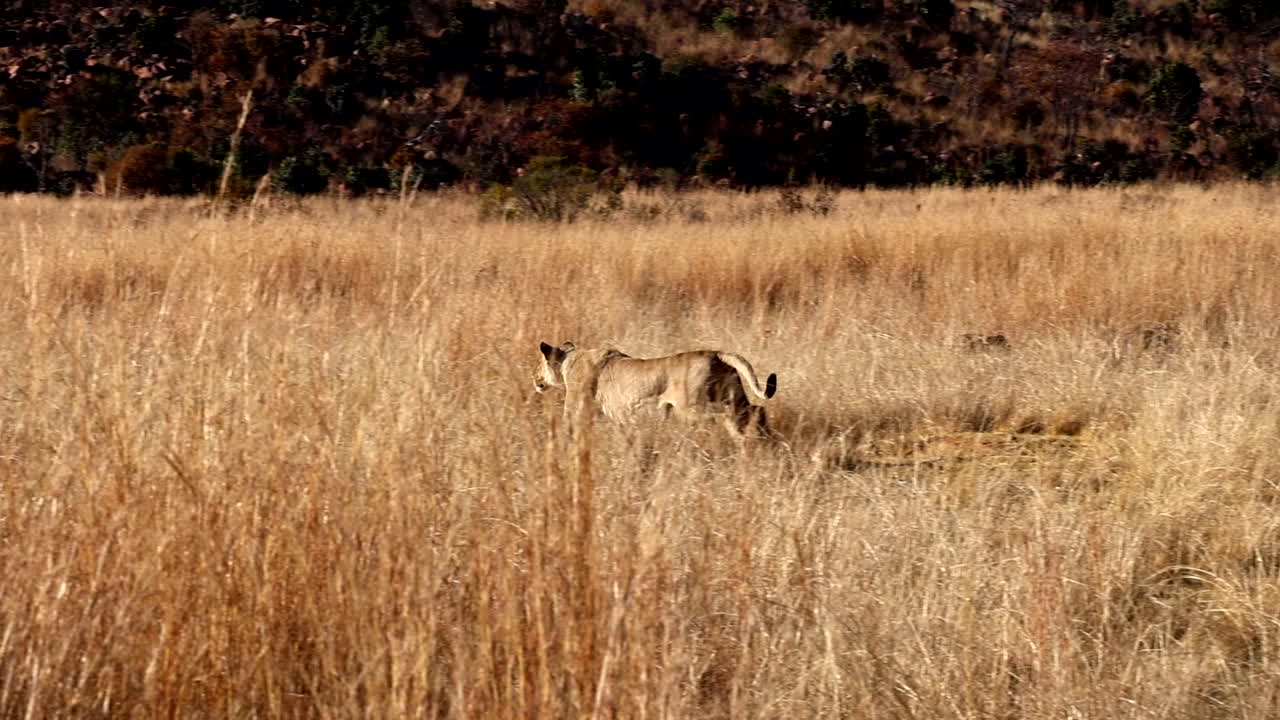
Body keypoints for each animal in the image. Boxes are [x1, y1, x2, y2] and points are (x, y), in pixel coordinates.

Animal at [534, 341, 778, 438]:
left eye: (540, 364)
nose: (535, 378)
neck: (569, 360)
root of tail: (714, 353)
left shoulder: (575, 407)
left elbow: (567, 425)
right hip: (734, 396)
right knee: (756, 410)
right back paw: (757, 442)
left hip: (691, 407)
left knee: (718, 418)